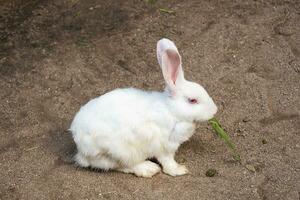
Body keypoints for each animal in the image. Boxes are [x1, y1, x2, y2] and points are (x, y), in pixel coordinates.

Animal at [69, 38, 217, 177]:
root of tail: (80, 146)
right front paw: (179, 170)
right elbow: (167, 161)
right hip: (119, 151)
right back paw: (148, 168)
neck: (171, 110)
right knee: (120, 165)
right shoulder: (165, 146)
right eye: (192, 100)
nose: (214, 111)